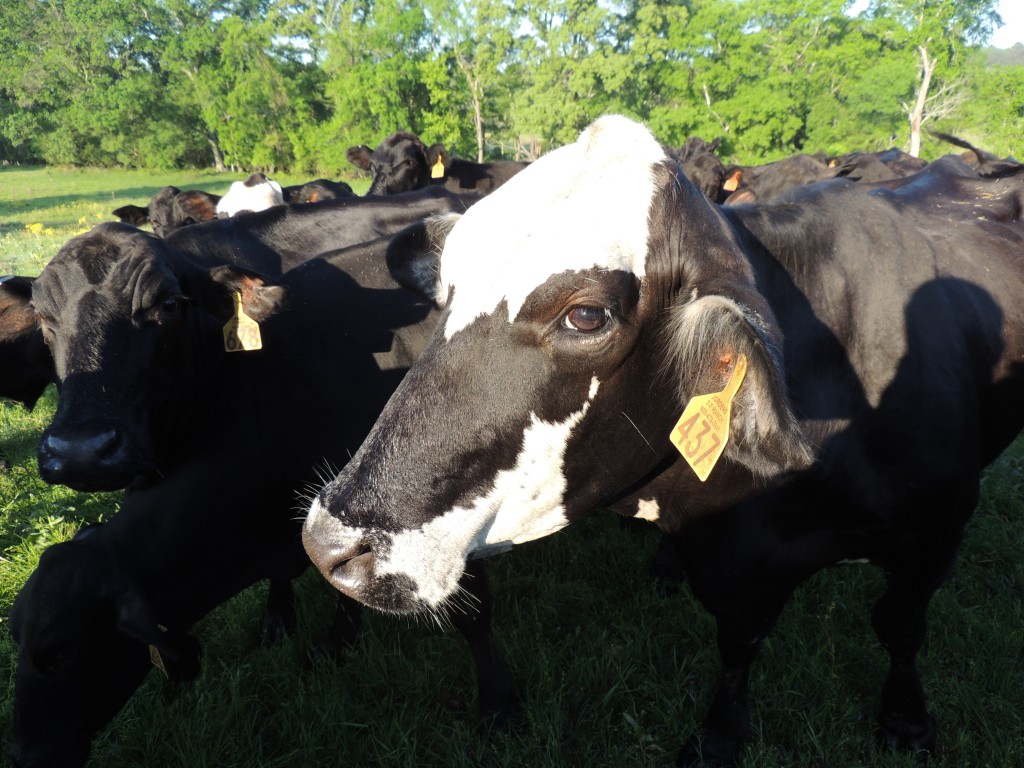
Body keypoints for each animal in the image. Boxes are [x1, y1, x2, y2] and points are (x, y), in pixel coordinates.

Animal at [10, 217, 517, 768]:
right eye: (41, 317)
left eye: (65, 652)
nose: (27, 755)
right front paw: (332, 645)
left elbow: (472, 613)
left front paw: (497, 708)